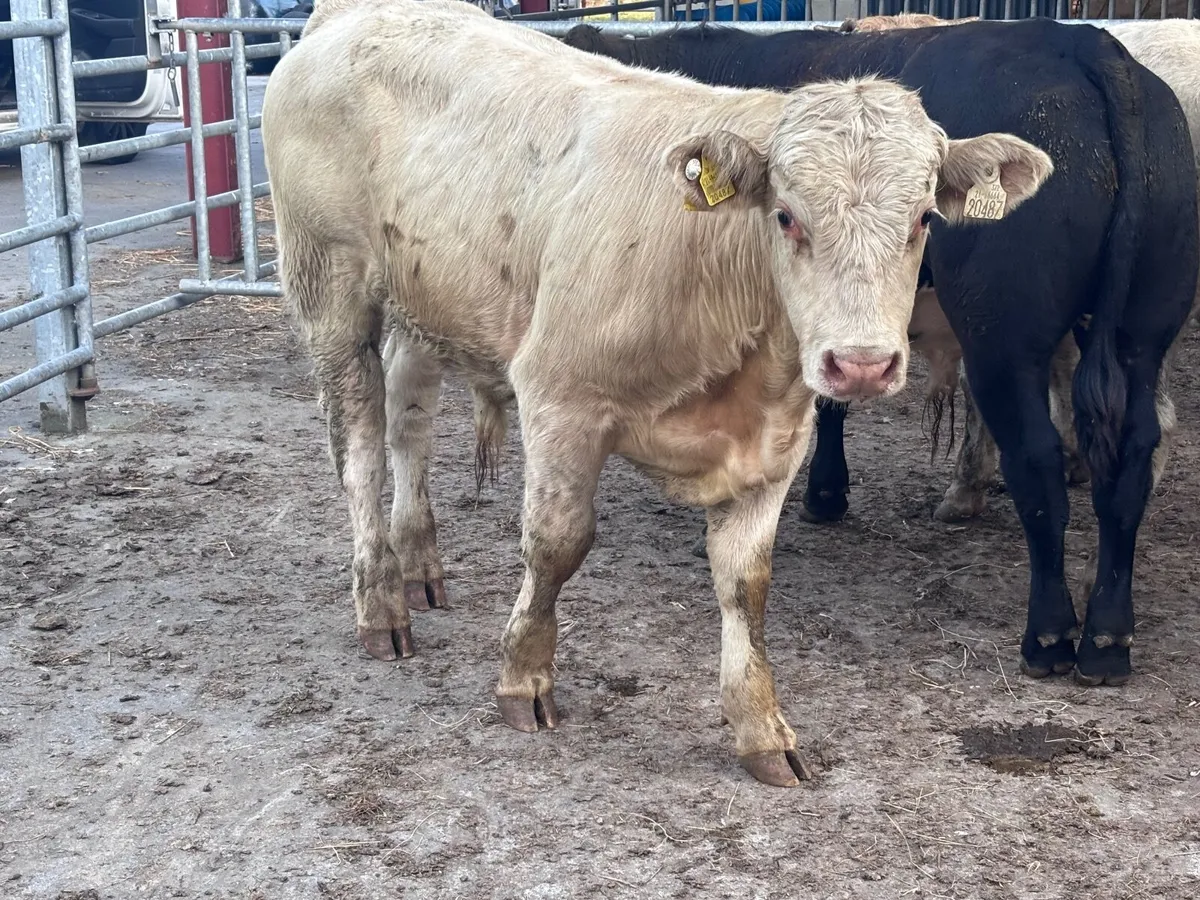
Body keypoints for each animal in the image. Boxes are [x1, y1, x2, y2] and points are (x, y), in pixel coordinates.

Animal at [262, 0, 1051, 786]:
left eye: (924, 218)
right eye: (787, 215)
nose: (861, 364)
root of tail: (359, 13)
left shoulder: (777, 445)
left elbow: (746, 583)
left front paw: (761, 728)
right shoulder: (559, 396)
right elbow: (556, 544)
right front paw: (524, 680)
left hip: (422, 301)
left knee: (410, 420)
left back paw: (420, 564)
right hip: (330, 286)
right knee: (360, 448)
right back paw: (381, 604)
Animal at [563, 19, 1199, 686]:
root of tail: (1083, 45)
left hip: (1006, 337)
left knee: (1038, 462)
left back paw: (1050, 635)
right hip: (1141, 333)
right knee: (1135, 452)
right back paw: (1107, 634)